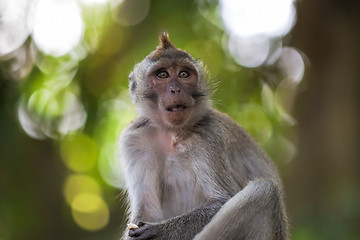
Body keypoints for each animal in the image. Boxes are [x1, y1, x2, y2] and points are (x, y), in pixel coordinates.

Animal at [119, 32, 292, 240]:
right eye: (162, 75)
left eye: (184, 74)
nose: (175, 89)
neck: (173, 135)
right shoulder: (135, 140)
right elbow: (146, 211)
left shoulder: (211, 136)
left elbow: (222, 200)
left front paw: (159, 231)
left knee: (265, 191)